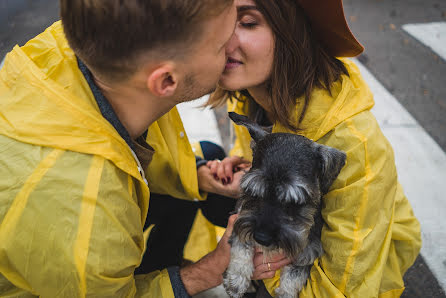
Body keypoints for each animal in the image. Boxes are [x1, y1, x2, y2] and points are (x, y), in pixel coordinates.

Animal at [225, 112, 346, 298]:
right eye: (254, 192)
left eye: (294, 203)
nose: (261, 238)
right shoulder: (241, 220)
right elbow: (241, 247)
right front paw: (236, 281)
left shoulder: (307, 252)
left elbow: (294, 278)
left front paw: (285, 292)